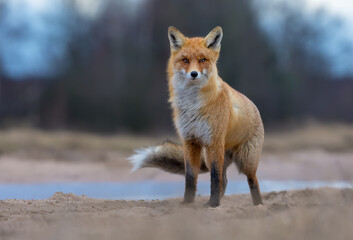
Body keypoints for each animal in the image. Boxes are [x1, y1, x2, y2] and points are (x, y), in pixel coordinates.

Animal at [128, 25, 262, 206]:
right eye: (185, 60)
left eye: (202, 60)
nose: (193, 74)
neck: (192, 105)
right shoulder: (190, 140)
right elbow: (191, 178)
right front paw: (188, 204)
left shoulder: (214, 141)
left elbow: (214, 178)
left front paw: (213, 205)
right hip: (211, 156)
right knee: (225, 180)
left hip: (245, 161)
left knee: (252, 181)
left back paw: (258, 205)